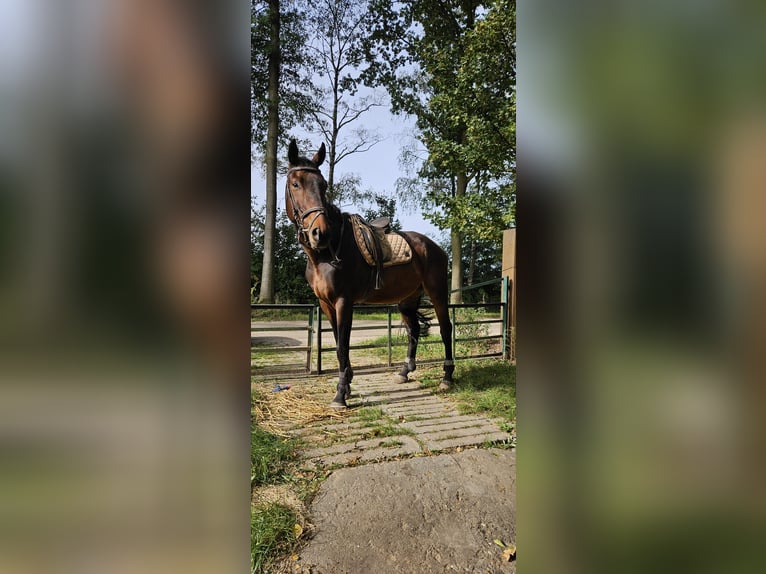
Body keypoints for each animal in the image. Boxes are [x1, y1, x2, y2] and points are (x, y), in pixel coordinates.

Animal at [286, 140, 456, 410]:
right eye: (295, 184)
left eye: (323, 186)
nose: (319, 233)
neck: (327, 253)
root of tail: (434, 247)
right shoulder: (325, 305)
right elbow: (338, 343)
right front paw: (347, 385)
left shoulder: (344, 302)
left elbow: (343, 347)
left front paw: (340, 395)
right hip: (407, 300)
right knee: (413, 331)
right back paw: (404, 372)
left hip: (437, 292)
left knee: (446, 329)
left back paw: (447, 377)